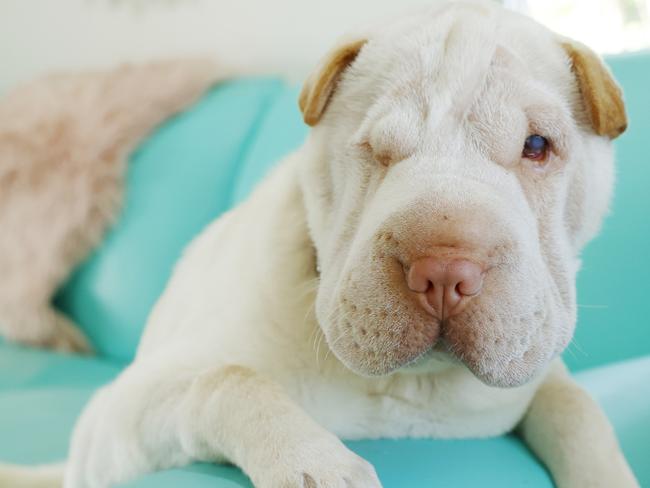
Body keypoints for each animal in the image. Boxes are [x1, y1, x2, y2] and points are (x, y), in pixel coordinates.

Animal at [1, 0, 636, 488]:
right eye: (374, 149)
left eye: (537, 145)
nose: (443, 270)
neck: (412, 388)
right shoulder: (117, 421)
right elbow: (228, 378)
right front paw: (316, 464)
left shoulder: (537, 365)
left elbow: (578, 407)